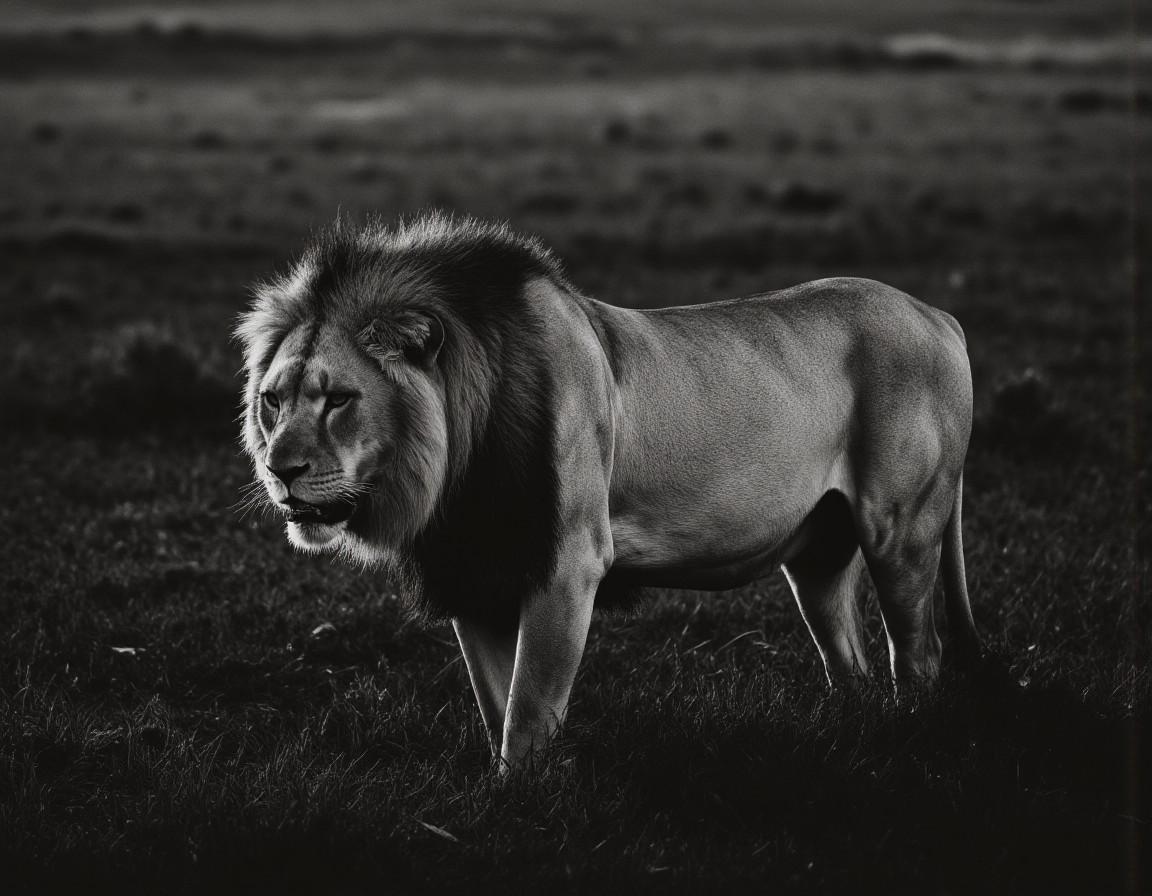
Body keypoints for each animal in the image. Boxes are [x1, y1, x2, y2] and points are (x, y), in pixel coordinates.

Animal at [237, 212, 981, 770]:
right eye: (273, 401)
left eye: (339, 399)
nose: (279, 469)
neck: (453, 475)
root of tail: (938, 313)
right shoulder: (475, 574)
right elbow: (497, 706)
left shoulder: (566, 566)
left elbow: (528, 712)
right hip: (819, 558)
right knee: (850, 664)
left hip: (902, 531)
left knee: (919, 656)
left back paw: (906, 742)